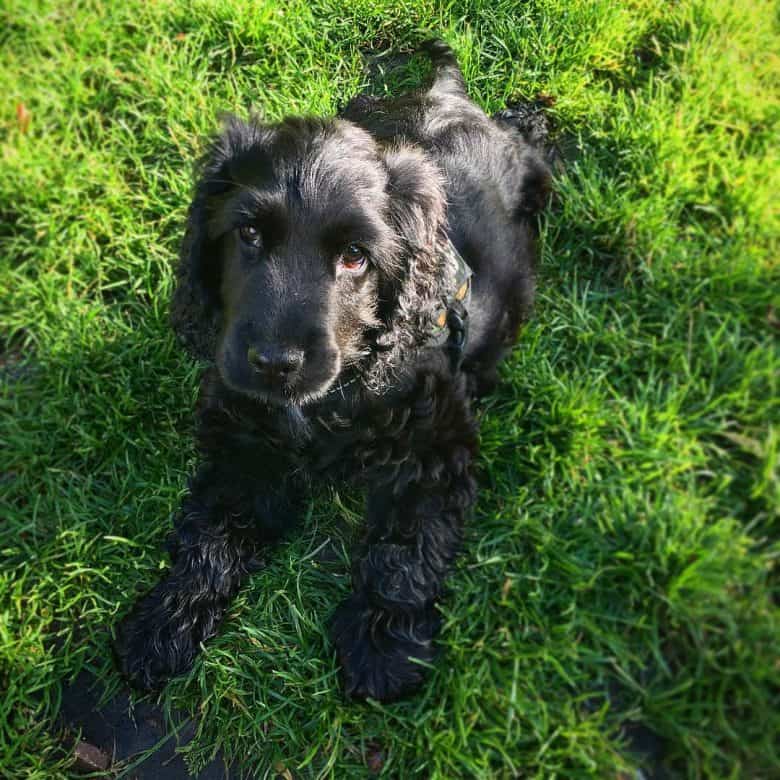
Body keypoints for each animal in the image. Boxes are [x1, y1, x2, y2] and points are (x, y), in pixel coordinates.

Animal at [116, 41, 552, 700]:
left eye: (354, 256)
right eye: (247, 232)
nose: (275, 364)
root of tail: (448, 96)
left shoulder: (434, 448)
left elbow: (403, 549)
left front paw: (382, 648)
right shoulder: (245, 445)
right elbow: (210, 531)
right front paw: (163, 624)